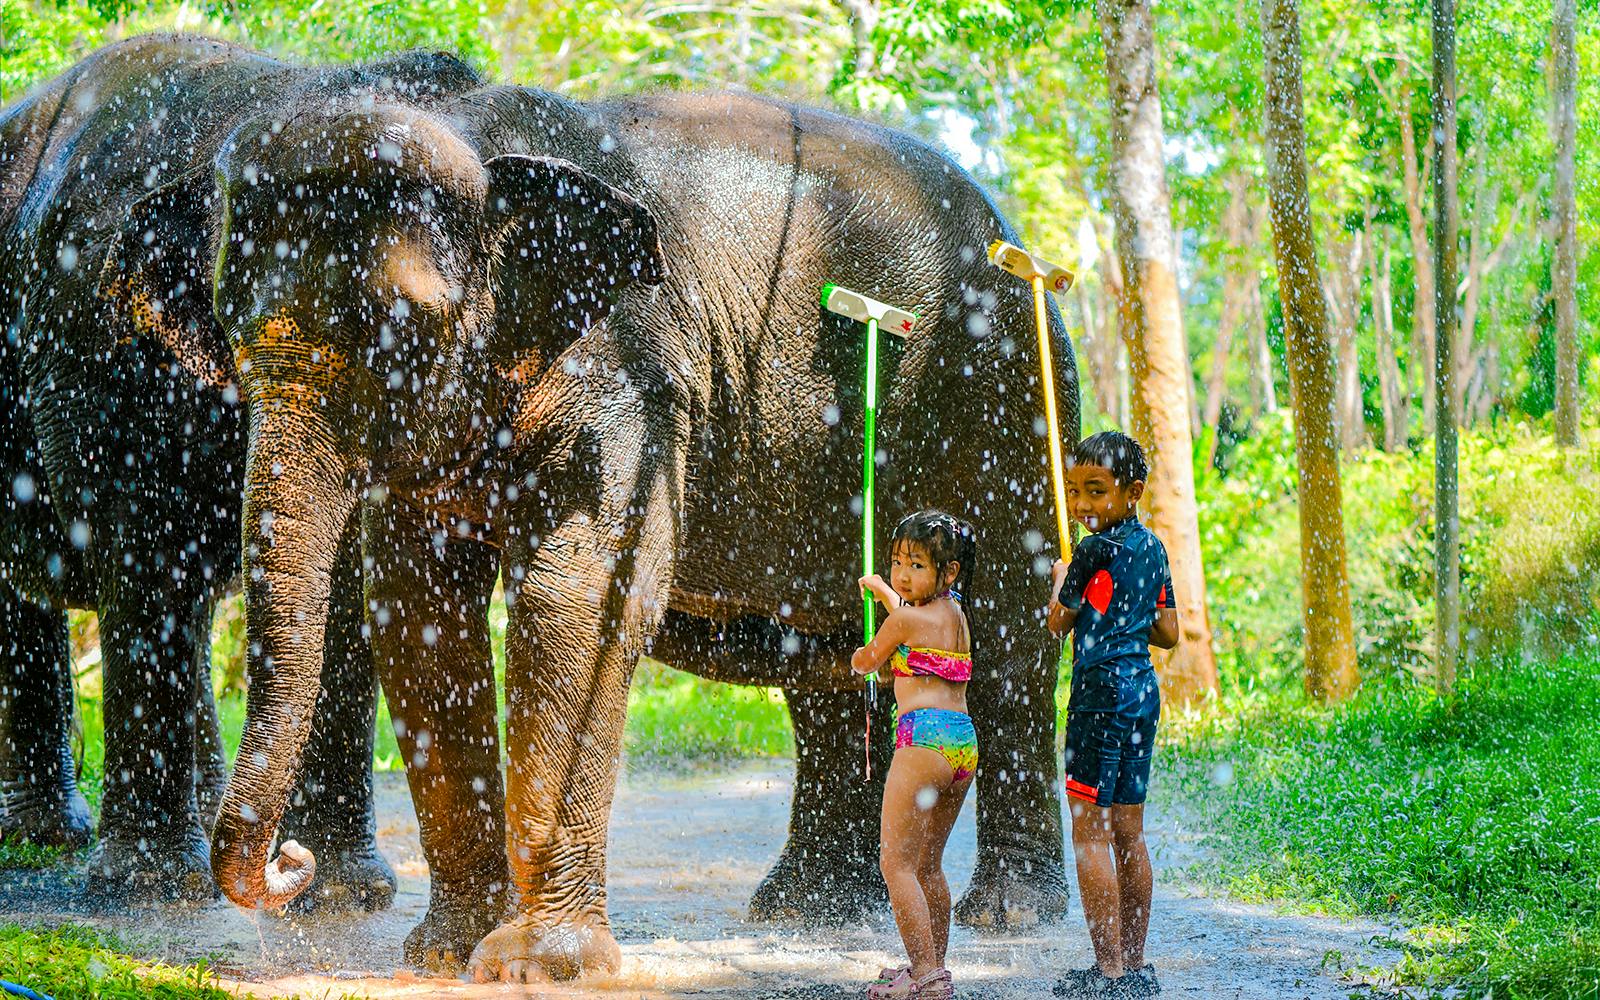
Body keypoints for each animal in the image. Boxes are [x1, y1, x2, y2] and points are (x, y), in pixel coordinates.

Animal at [0, 33, 499, 908]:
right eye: (233, 321)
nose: (285, 860)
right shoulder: (95, 353)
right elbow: (147, 555)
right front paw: (149, 891)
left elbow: (346, 582)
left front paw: (343, 893)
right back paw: (55, 842)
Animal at [116, 42, 1081, 980]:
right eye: (227, 323)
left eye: (401, 327)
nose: (291, 862)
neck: (476, 132)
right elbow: (421, 616)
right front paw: (447, 953)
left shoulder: (632, 372)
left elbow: (577, 598)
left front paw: (541, 964)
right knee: (827, 650)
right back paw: (809, 910)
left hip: (1010, 395)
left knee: (1006, 634)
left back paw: (1006, 913)